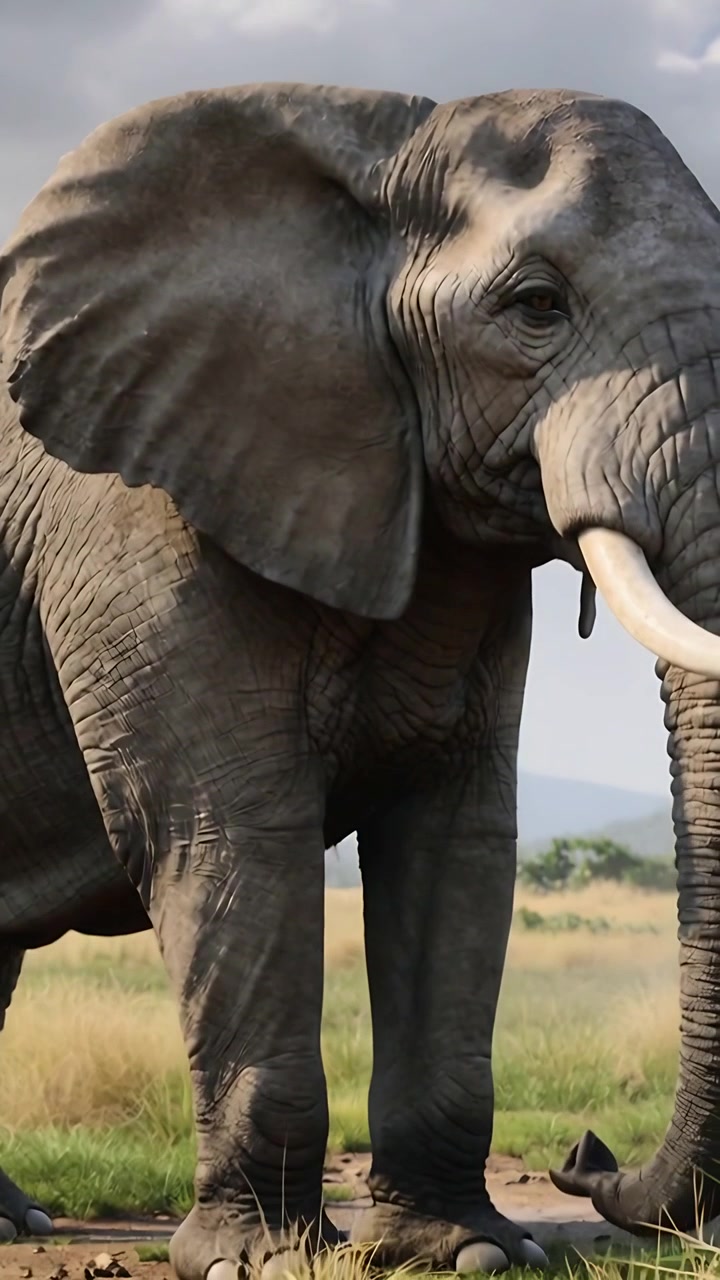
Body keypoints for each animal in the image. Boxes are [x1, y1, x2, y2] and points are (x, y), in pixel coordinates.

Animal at [1, 78, 720, 1280]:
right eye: (536, 307)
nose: (585, 1152)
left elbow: (454, 838)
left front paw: (467, 1251)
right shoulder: (141, 518)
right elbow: (231, 836)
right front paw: (262, 1260)